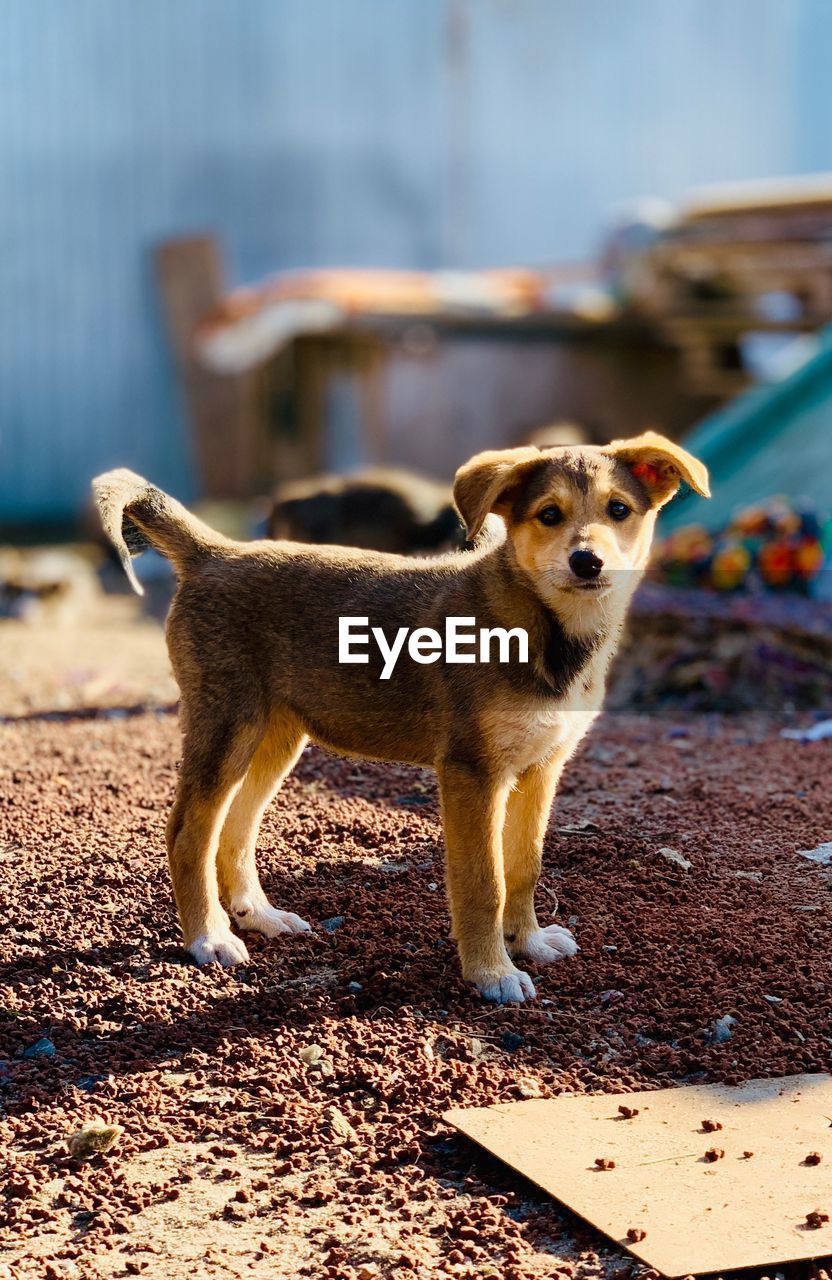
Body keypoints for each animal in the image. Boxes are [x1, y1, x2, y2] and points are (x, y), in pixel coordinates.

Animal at [95, 435, 706, 1003]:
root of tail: (214, 553)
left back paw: (259, 917)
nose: (588, 563)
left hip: (275, 736)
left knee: (235, 831)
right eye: (549, 515)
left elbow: (524, 866)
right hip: (227, 725)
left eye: (618, 509)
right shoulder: (471, 773)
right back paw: (209, 937)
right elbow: (484, 882)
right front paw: (491, 973)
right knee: (188, 834)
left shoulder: (542, 769)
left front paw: (528, 943)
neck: (548, 629)